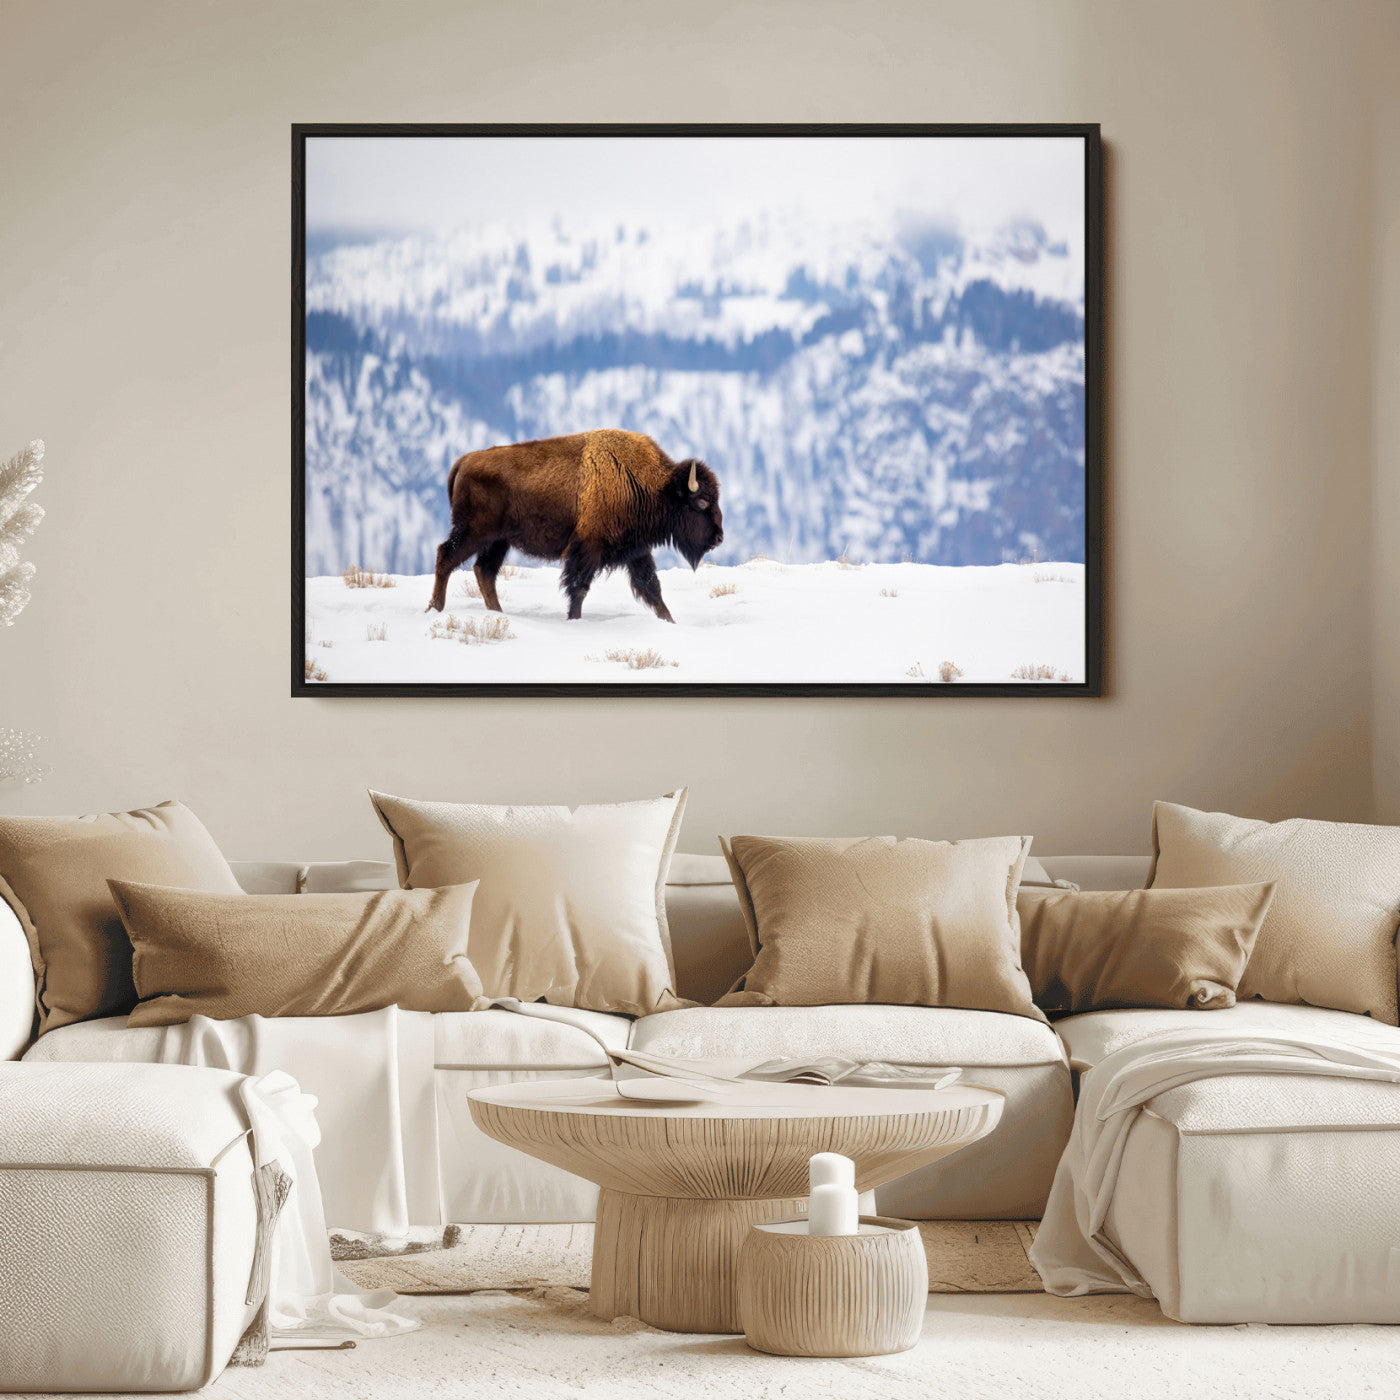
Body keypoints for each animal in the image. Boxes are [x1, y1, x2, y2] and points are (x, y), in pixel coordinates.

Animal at [426, 430, 723, 622]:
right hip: (474, 532)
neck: (650, 485)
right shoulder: (587, 550)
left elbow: (652, 588)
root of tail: (464, 461)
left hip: (498, 541)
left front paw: (670, 621)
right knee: (447, 556)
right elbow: (579, 588)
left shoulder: (636, 551)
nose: (719, 538)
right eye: (702, 502)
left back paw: (496, 613)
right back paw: (435, 609)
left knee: (484, 570)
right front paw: (574, 620)